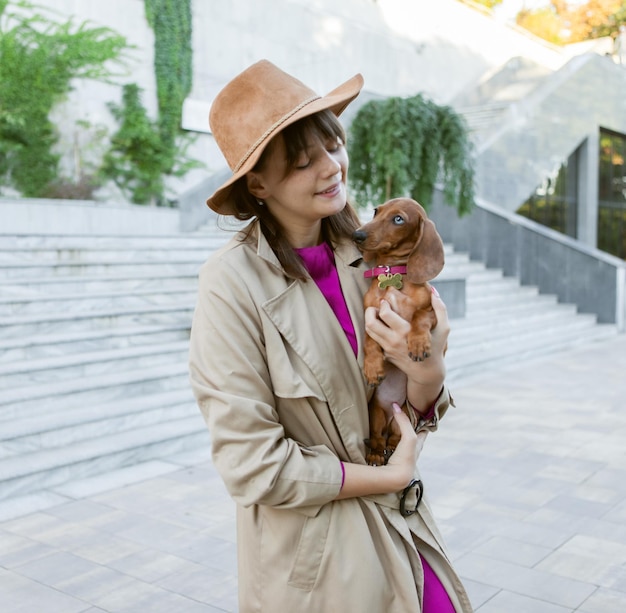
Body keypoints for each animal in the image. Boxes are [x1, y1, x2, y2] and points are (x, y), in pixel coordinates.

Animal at [352, 197, 444, 464]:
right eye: (376, 211)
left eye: (398, 219)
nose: (357, 235)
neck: (392, 276)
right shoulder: (370, 314)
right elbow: (369, 340)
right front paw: (373, 368)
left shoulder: (432, 310)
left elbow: (419, 317)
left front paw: (418, 343)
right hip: (377, 414)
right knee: (377, 438)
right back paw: (374, 455)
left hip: (401, 414)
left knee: (394, 438)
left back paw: (391, 449)